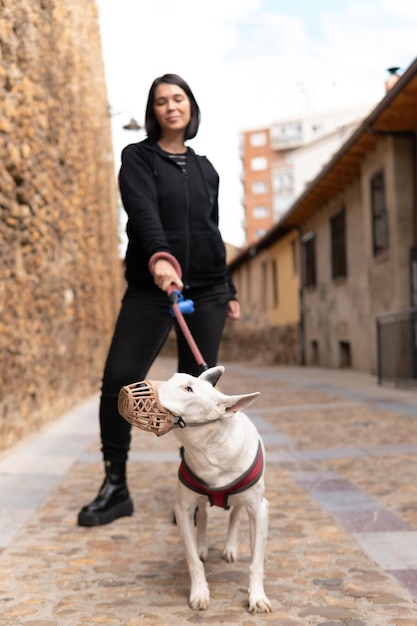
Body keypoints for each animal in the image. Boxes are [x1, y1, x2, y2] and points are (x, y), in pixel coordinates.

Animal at [140, 364, 270, 612]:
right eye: (173, 377)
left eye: (188, 389)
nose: (143, 385)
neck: (210, 451)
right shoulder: (182, 509)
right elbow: (193, 560)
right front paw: (199, 593)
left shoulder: (259, 510)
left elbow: (256, 561)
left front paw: (257, 598)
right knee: (204, 515)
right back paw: (202, 545)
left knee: (235, 515)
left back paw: (230, 548)